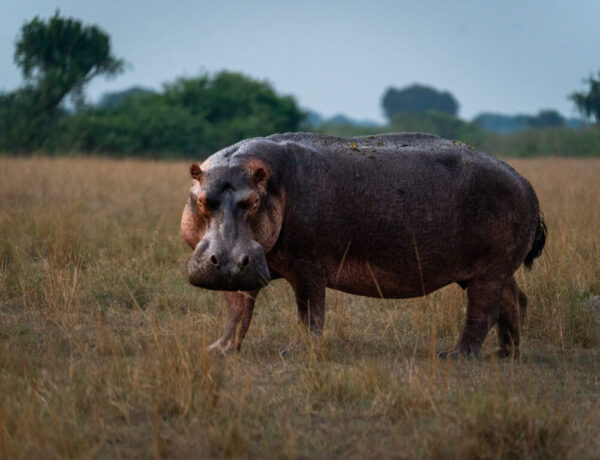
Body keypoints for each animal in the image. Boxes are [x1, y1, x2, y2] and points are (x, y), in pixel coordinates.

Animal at [180, 131, 548, 358]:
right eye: (200, 199)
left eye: (253, 202)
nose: (228, 261)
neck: (267, 178)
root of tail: (526, 182)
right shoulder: (247, 267)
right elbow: (237, 311)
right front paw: (217, 350)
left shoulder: (307, 264)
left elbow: (309, 311)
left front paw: (295, 353)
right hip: (491, 271)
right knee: (516, 301)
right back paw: (506, 354)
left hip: (488, 271)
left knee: (482, 311)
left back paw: (454, 355)